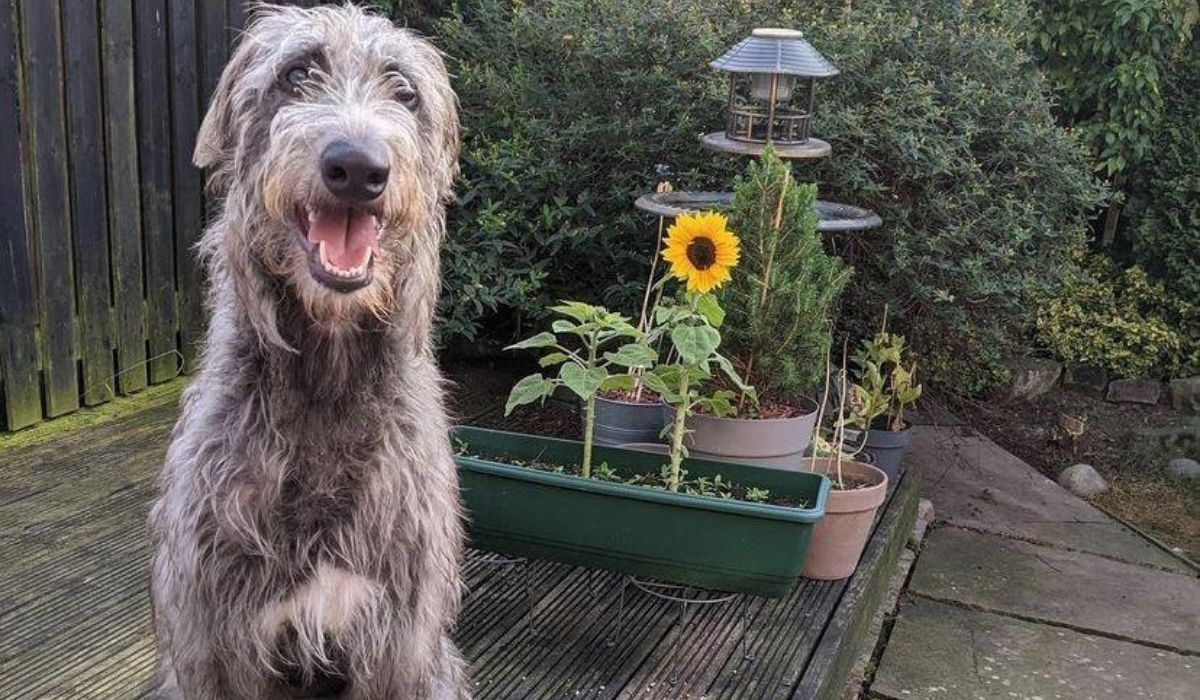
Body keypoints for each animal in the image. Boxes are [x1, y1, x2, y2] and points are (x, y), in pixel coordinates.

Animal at [148, 6, 468, 700]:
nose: (357, 167)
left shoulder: (398, 644)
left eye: (405, 91)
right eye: (296, 73)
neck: (327, 379)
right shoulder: (216, 643)